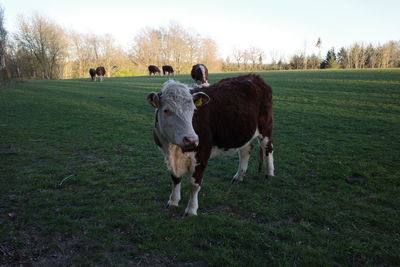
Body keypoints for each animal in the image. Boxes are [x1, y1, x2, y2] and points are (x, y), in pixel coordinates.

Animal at [147, 74, 276, 217]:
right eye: (166, 111)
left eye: (194, 110)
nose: (191, 139)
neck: (174, 149)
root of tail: (253, 77)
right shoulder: (168, 155)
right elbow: (175, 178)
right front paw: (173, 202)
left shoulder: (202, 153)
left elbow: (194, 184)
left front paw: (191, 209)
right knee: (245, 150)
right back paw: (238, 176)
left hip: (265, 126)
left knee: (268, 148)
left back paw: (269, 173)